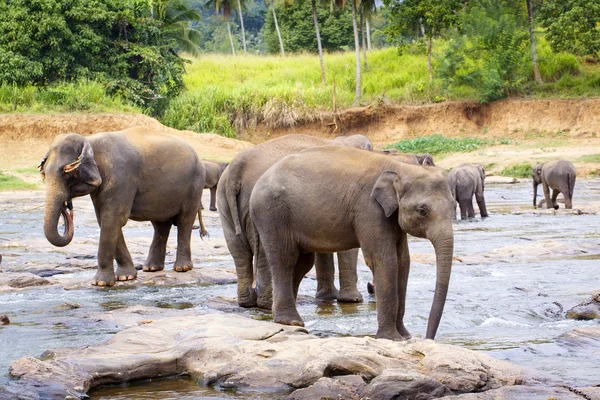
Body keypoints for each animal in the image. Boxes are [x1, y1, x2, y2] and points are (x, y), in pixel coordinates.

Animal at [39, 126, 205, 286]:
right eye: (44, 173)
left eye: (66, 171)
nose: (67, 207)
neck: (90, 141)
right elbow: (105, 221)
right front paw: (126, 277)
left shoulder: (121, 178)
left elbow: (113, 219)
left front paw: (101, 283)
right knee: (160, 225)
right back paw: (151, 268)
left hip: (194, 187)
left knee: (184, 221)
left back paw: (182, 268)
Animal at [218, 134, 372, 310]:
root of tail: (237, 167)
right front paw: (354, 300)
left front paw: (328, 297)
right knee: (266, 253)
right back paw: (267, 304)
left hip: (224, 202)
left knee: (239, 253)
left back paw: (247, 303)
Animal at [250, 147, 454, 340]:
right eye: (422, 210)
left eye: (454, 204)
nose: (428, 338)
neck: (400, 168)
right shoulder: (369, 209)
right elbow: (384, 260)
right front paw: (392, 338)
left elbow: (403, 262)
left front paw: (405, 336)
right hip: (272, 214)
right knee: (285, 259)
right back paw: (290, 321)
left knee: (301, 264)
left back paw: (286, 320)